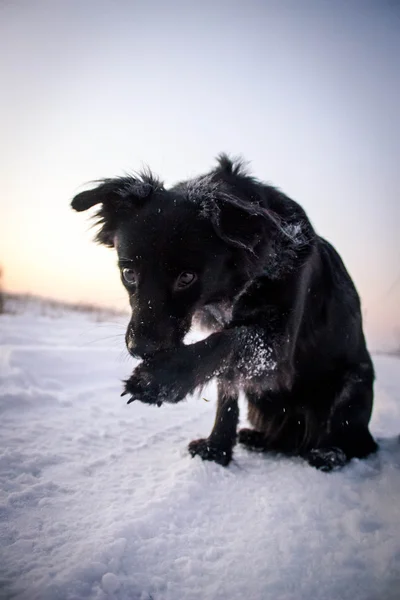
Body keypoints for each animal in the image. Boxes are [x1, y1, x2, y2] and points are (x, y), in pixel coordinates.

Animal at [72, 154, 378, 468]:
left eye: (186, 277)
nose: (139, 348)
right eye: (129, 274)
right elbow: (226, 385)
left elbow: (225, 343)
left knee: (348, 437)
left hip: (354, 385)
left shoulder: (277, 344)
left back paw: (328, 453)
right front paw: (217, 447)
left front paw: (157, 380)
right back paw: (260, 439)